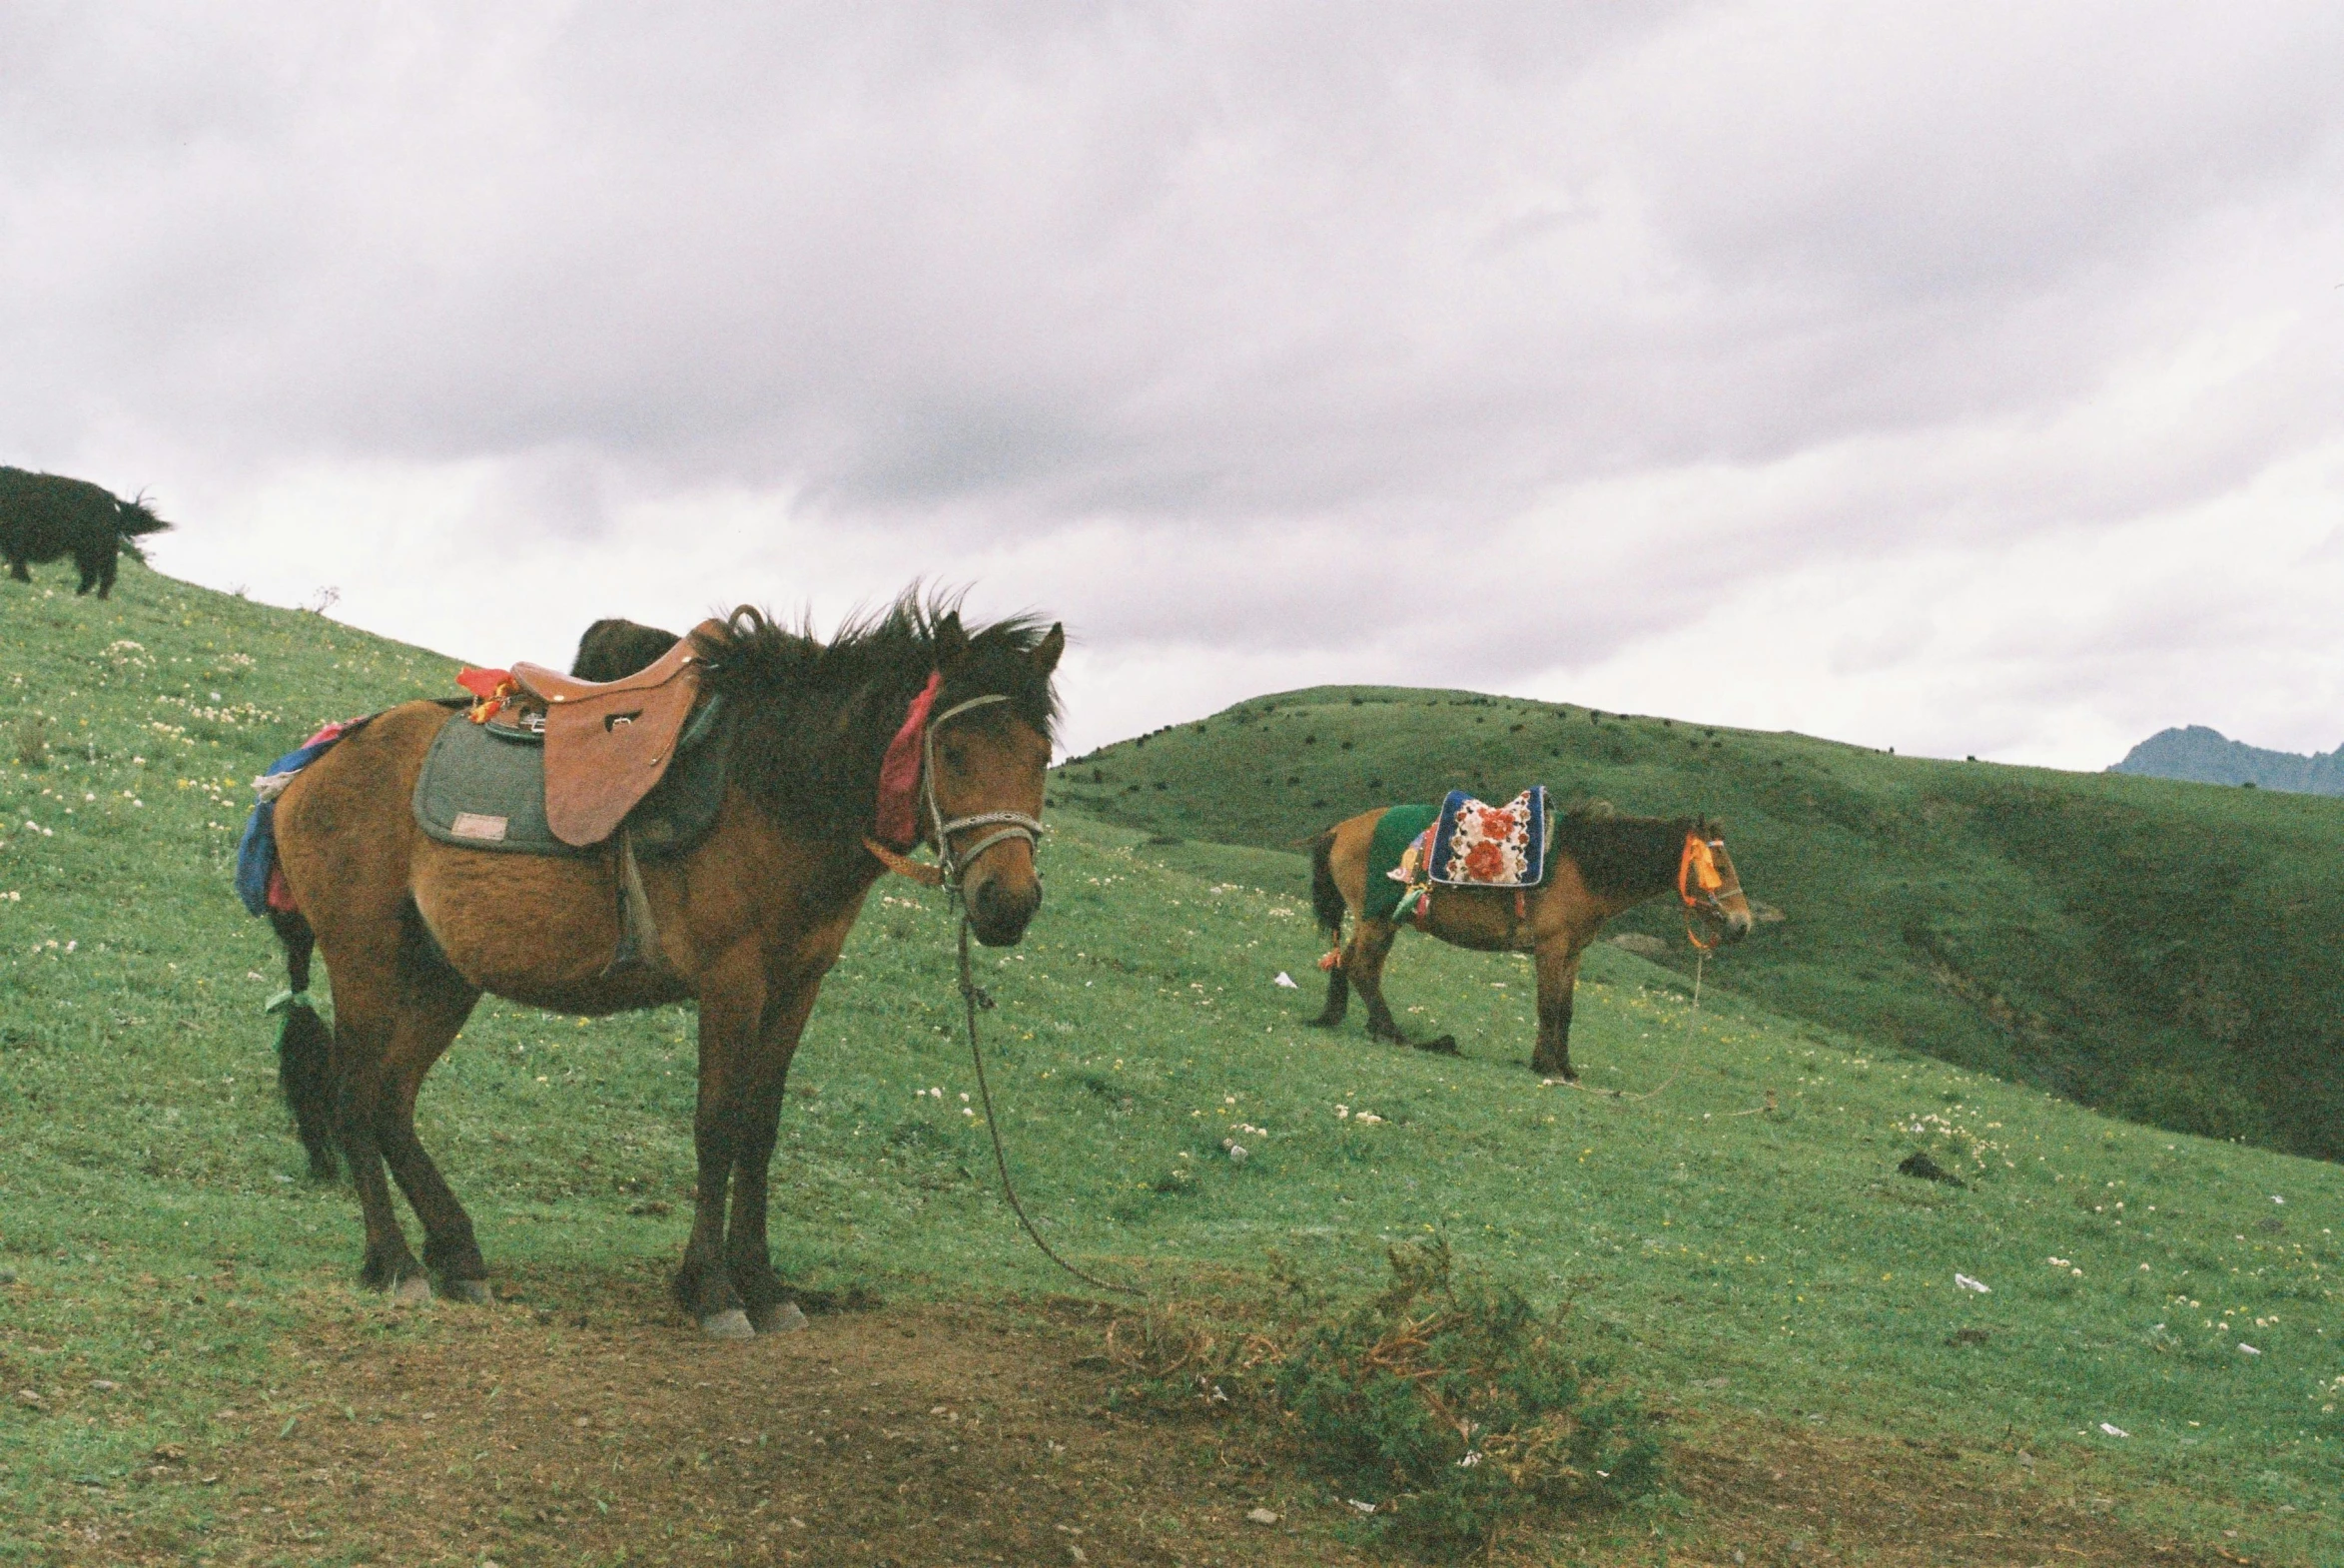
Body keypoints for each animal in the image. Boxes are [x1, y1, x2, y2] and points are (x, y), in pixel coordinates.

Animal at [264, 595, 1064, 1330]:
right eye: (951, 751)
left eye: (1041, 758)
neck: (771, 790)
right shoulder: (731, 981)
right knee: (355, 1098)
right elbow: (717, 1126)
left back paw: (457, 1253)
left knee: (393, 1101)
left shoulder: (798, 984)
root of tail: (310, 766)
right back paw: (396, 1264)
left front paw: (763, 1284)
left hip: (444, 977)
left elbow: (760, 1130)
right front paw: (712, 1290)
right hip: (364, 958)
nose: (1008, 903)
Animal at [1312, 806, 1753, 1078]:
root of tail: (1339, 829)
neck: (1585, 867)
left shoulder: (1573, 952)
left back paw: (1342, 1018)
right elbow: (1548, 1006)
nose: (1742, 925)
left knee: (1349, 961)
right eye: (1719, 864)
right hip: (1377, 919)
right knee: (1362, 968)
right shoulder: (1550, 947)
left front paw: (1567, 1068)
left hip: (1380, 920)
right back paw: (1393, 1033)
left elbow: (1566, 1010)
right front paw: (1545, 1065)